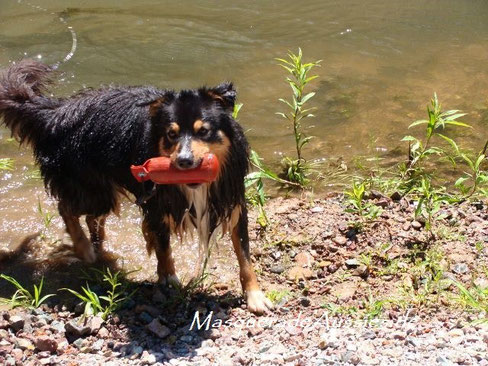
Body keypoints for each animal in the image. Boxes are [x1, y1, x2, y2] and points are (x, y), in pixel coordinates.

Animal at [0, 61, 272, 314]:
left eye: (203, 131)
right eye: (171, 134)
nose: (183, 161)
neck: (197, 186)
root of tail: (56, 112)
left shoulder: (232, 202)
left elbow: (245, 256)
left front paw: (255, 296)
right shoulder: (156, 205)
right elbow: (163, 248)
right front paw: (169, 280)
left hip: (103, 192)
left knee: (91, 219)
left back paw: (100, 253)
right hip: (92, 189)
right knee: (67, 210)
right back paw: (84, 249)